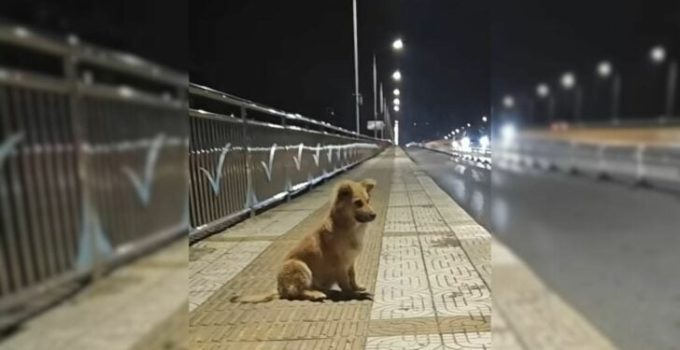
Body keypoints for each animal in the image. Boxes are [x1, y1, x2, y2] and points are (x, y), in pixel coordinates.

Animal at [231, 178, 374, 304]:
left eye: (368, 201)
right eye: (358, 203)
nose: (374, 215)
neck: (348, 227)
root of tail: (280, 289)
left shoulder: (350, 261)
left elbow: (352, 276)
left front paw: (357, 287)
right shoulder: (340, 264)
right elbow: (345, 282)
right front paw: (353, 293)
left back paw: (327, 292)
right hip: (300, 266)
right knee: (298, 293)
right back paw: (317, 295)